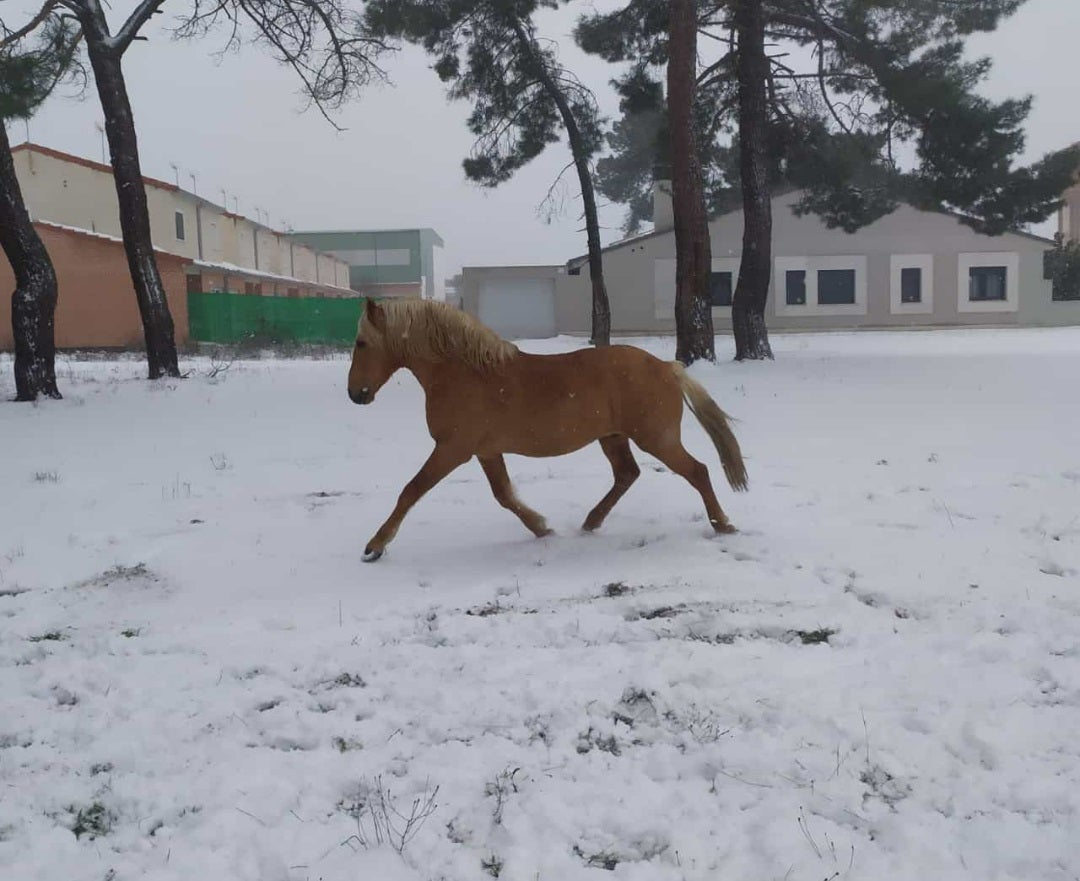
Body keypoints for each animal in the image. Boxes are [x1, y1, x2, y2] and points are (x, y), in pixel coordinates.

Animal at [349, 300, 747, 561]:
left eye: (361, 342)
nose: (356, 394)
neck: (464, 373)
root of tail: (668, 367)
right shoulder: (485, 451)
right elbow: (504, 495)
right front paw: (542, 527)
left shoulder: (452, 449)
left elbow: (411, 490)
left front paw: (375, 546)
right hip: (613, 437)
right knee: (627, 475)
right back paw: (590, 522)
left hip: (656, 439)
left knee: (697, 470)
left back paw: (723, 524)